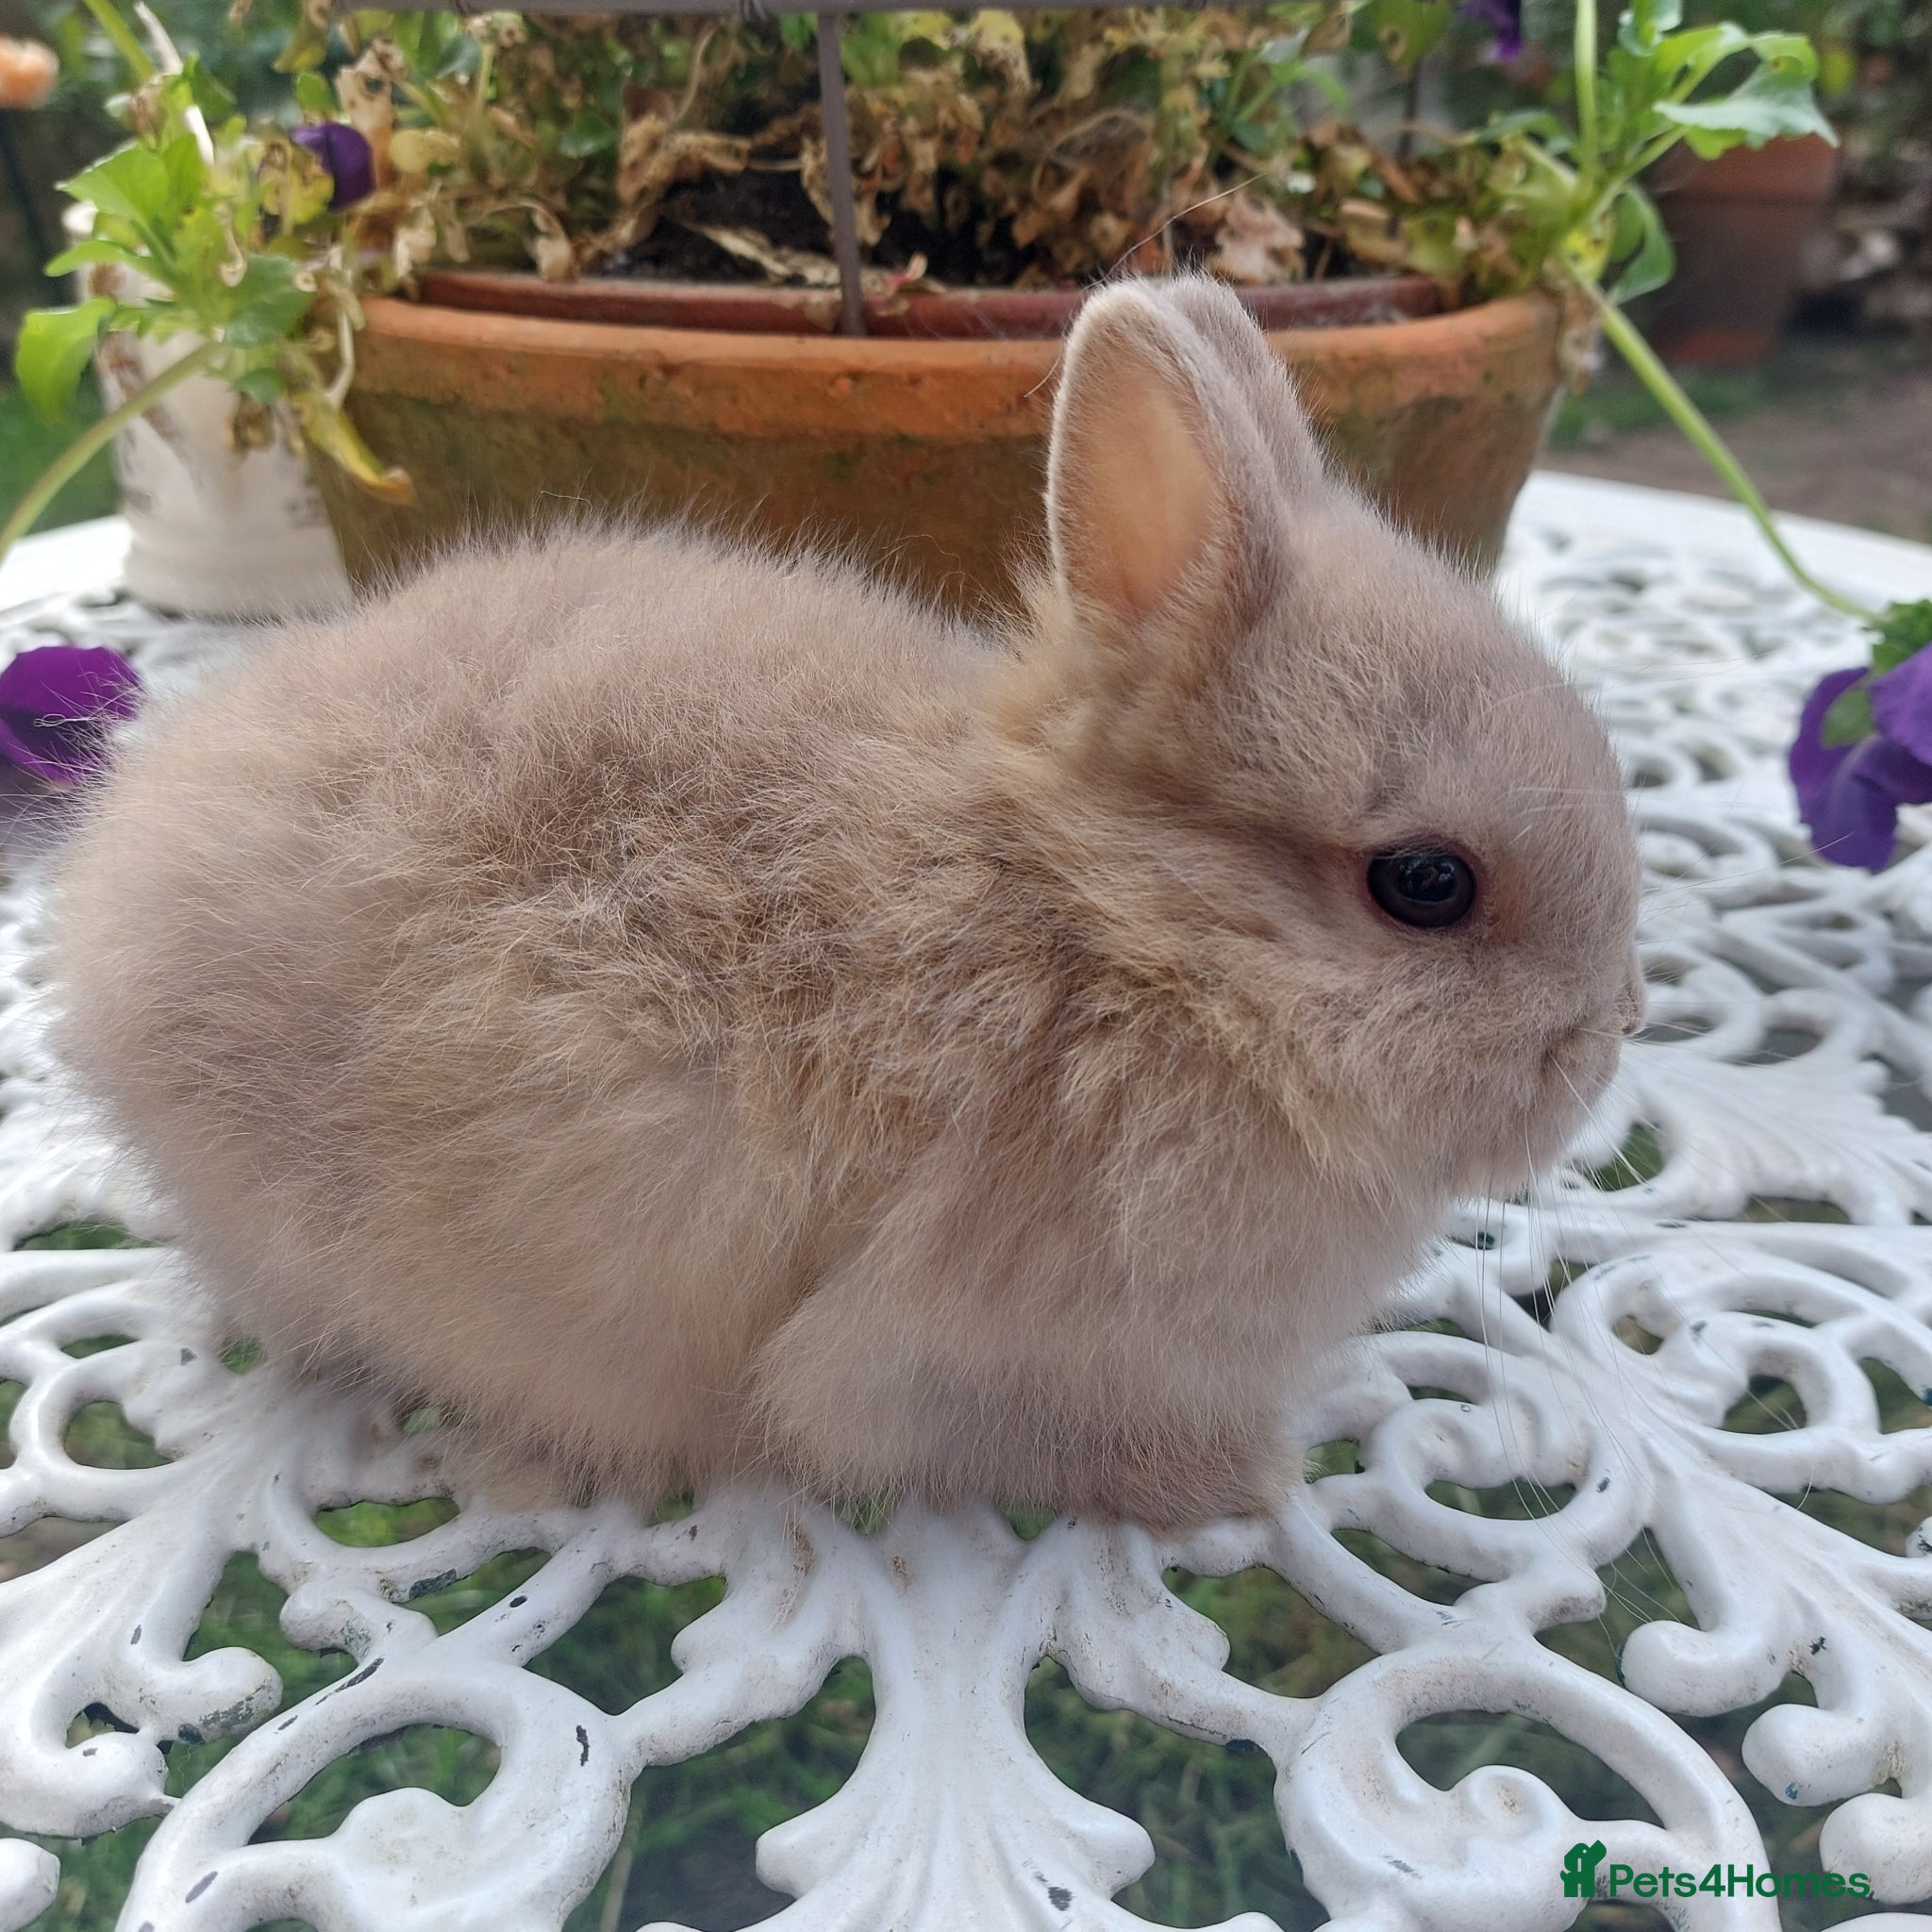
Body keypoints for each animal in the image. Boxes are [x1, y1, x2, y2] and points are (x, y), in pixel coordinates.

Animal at [47, 275, 1644, 1528]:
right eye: (1425, 885)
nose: (1608, 1035)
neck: (1132, 935)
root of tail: (133, 847)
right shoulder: (962, 1359)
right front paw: (1236, 1485)